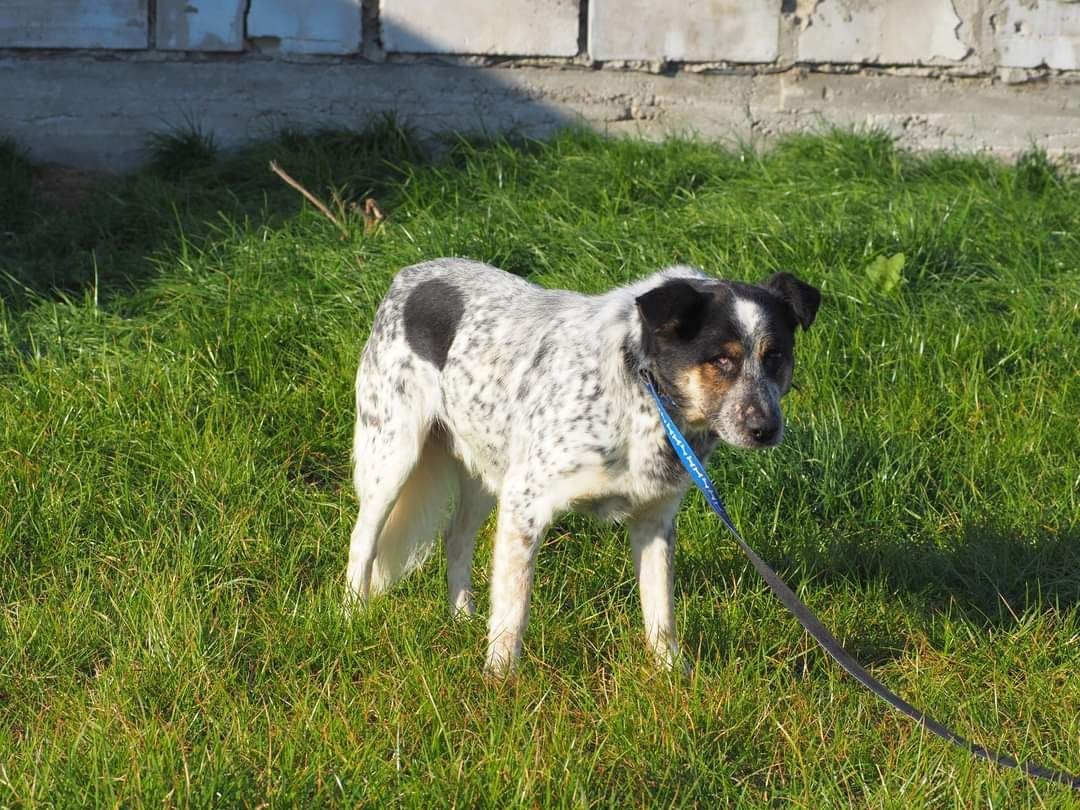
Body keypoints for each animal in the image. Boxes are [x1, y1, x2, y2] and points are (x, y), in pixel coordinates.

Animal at [345, 261, 816, 678]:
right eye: (720, 360)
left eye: (775, 356)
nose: (765, 429)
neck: (643, 392)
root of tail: (407, 276)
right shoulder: (525, 504)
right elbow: (513, 610)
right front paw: (500, 680)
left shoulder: (654, 520)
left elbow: (661, 612)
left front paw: (673, 676)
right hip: (393, 456)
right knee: (363, 541)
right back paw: (354, 616)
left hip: (486, 468)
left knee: (456, 540)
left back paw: (462, 617)